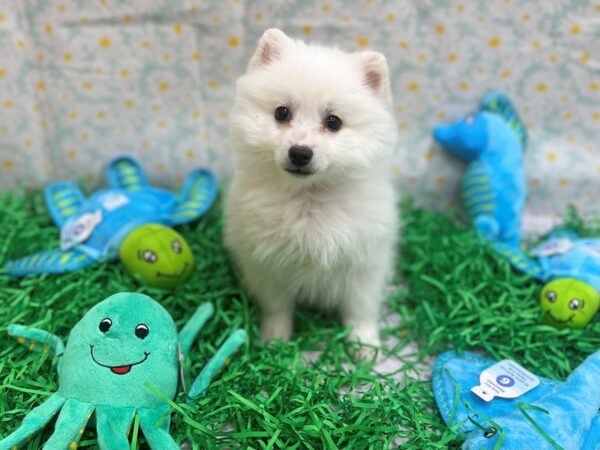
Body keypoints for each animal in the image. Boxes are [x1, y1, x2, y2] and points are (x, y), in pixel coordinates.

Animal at [225, 29, 398, 352]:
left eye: (333, 122)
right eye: (282, 113)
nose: (300, 153)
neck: (308, 197)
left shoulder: (365, 265)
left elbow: (360, 310)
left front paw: (365, 345)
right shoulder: (268, 267)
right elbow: (277, 308)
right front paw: (274, 340)